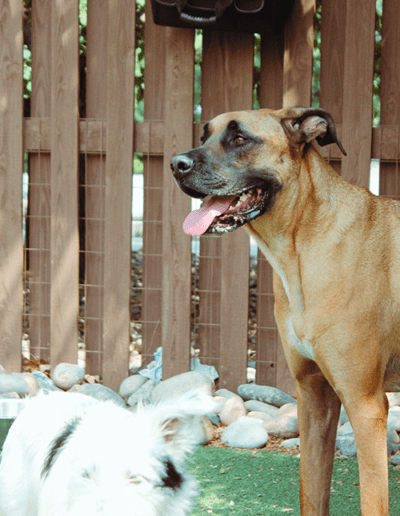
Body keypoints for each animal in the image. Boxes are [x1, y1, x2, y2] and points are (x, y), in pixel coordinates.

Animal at [170, 107, 400, 512]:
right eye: (204, 135)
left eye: (240, 138)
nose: (175, 164)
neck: (300, 245)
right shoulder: (313, 397)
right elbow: (311, 491)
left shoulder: (365, 405)